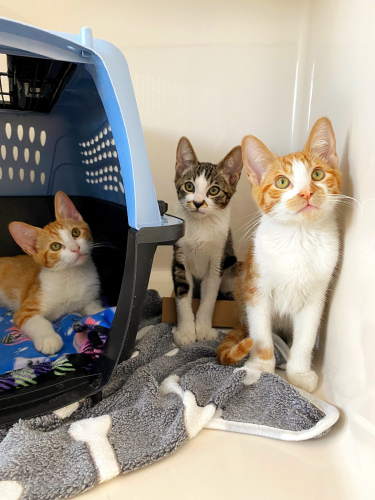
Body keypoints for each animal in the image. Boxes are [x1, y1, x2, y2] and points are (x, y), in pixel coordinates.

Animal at [0, 190, 103, 356]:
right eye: (55, 246)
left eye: (75, 232)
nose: (75, 248)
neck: (71, 275)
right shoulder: (26, 309)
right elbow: (37, 321)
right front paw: (48, 339)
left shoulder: (90, 298)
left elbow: (94, 309)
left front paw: (103, 313)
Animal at [173, 138, 244, 348]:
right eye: (189, 186)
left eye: (214, 190)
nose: (197, 203)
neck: (201, 225)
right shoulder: (180, 257)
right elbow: (182, 294)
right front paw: (186, 331)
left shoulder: (217, 260)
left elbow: (210, 297)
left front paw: (203, 329)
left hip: (231, 262)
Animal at [217, 118, 344, 394]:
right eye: (282, 182)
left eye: (317, 174)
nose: (306, 193)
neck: (298, 238)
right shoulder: (255, 287)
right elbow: (260, 332)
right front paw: (261, 366)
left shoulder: (317, 295)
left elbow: (306, 334)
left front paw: (300, 372)